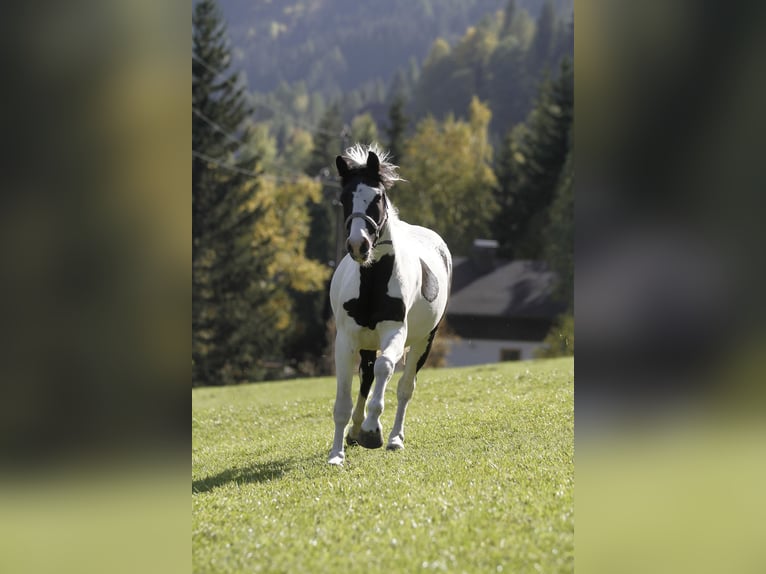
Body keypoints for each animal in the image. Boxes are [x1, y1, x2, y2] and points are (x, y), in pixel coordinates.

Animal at [328, 144, 450, 468]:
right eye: (344, 198)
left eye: (378, 197)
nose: (358, 245)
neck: (373, 283)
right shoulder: (346, 340)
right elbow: (344, 399)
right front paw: (336, 454)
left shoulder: (395, 333)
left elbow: (386, 368)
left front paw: (373, 431)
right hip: (367, 342)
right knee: (366, 378)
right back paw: (354, 432)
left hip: (423, 341)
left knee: (404, 387)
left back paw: (394, 438)